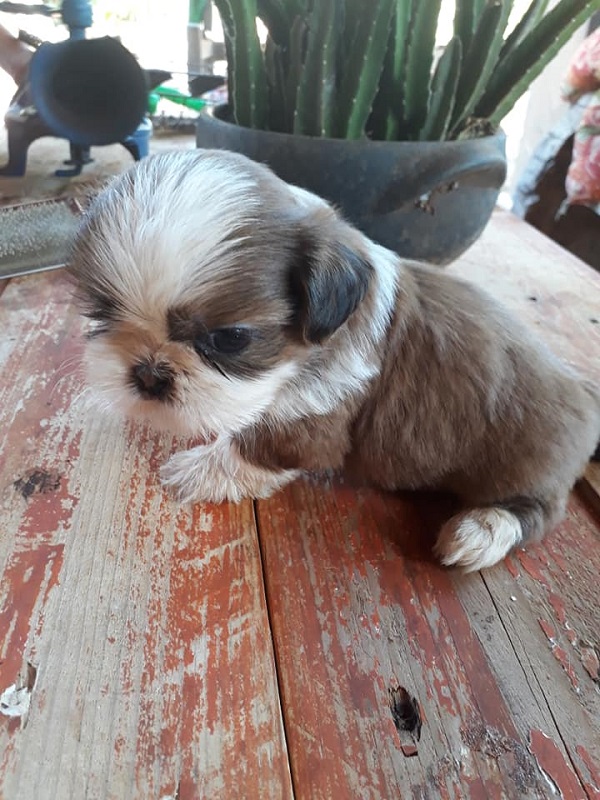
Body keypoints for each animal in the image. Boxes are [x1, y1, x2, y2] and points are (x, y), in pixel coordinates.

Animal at [68, 150, 600, 572]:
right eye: (101, 313)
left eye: (229, 339)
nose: (149, 374)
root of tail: (582, 391)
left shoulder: (313, 416)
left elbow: (255, 448)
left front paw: (199, 469)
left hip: (528, 462)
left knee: (538, 511)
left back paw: (481, 531)